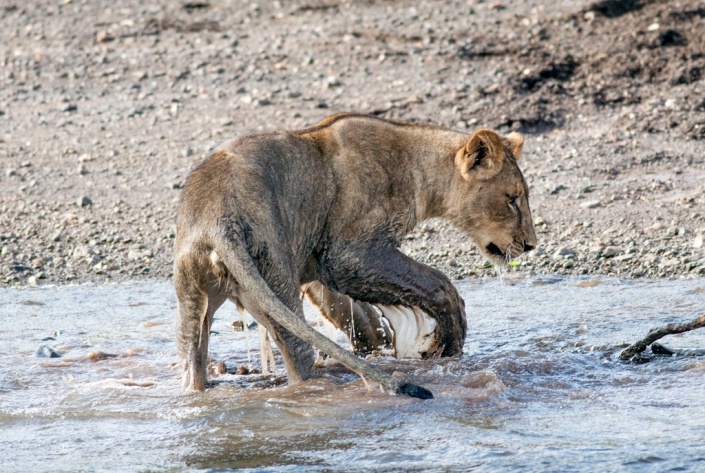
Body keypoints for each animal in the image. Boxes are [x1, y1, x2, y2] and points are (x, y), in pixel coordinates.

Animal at [174, 113, 536, 399]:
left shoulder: (319, 265)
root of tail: (219, 221)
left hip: (193, 297)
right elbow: (437, 283)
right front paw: (446, 344)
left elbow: (354, 315)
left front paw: (379, 347)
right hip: (276, 279)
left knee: (191, 361)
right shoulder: (348, 253)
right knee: (298, 360)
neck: (416, 166)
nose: (531, 244)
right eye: (512, 199)